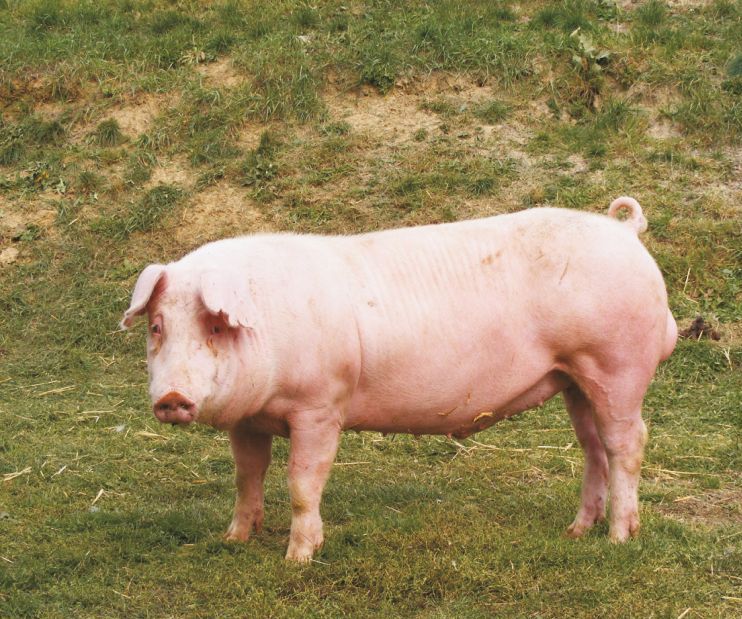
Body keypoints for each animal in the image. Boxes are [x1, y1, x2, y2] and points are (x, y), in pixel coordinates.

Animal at [121, 197, 677, 562]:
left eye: (214, 326)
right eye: (157, 326)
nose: (171, 398)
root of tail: (625, 233)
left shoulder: (320, 405)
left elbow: (303, 481)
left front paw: (297, 559)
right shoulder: (248, 420)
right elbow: (247, 476)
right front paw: (233, 540)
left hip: (616, 365)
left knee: (627, 443)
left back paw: (619, 539)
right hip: (575, 379)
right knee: (592, 447)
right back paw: (575, 533)